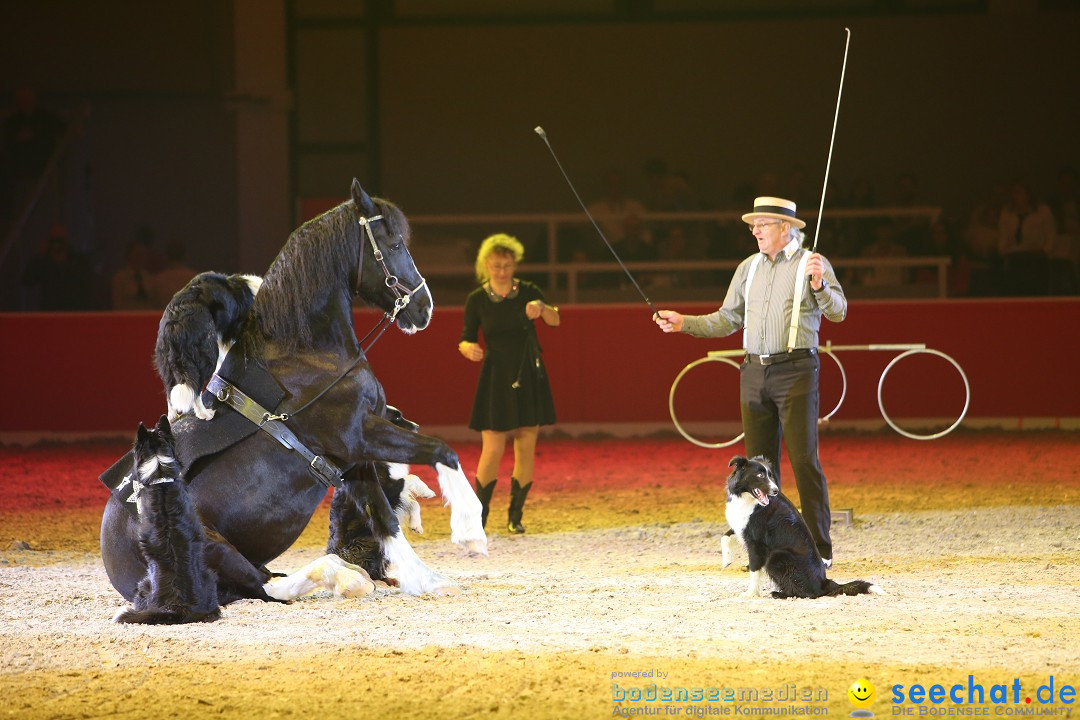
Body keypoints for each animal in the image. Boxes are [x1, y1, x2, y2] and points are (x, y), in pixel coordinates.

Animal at [153, 272, 262, 418]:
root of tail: (175, 323)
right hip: (206, 355)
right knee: (196, 389)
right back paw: (205, 414)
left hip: (167, 363)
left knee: (170, 390)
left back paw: (172, 416)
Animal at [721, 455, 881, 604]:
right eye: (760, 475)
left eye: (770, 475)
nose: (775, 490)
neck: (747, 498)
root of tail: (825, 583)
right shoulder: (740, 527)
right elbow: (725, 536)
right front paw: (727, 559)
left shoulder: (756, 543)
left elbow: (754, 571)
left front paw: (750, 593)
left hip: (775, 557)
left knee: (807, 593)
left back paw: (779, 594)